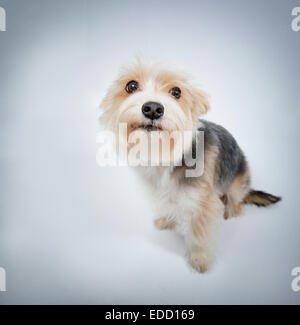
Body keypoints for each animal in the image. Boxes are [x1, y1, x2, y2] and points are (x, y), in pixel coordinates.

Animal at [101, 59, 282, 272]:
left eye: (176, 92)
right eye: (131, 86)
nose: (153, 108)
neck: (165, 155)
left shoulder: (204, 205)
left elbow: (199, 235)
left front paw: (199, 259)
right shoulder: (161, 192)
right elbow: (167, 204)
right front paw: (166, 221)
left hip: (238, 182)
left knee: (236, 200)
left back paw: (230, 210)